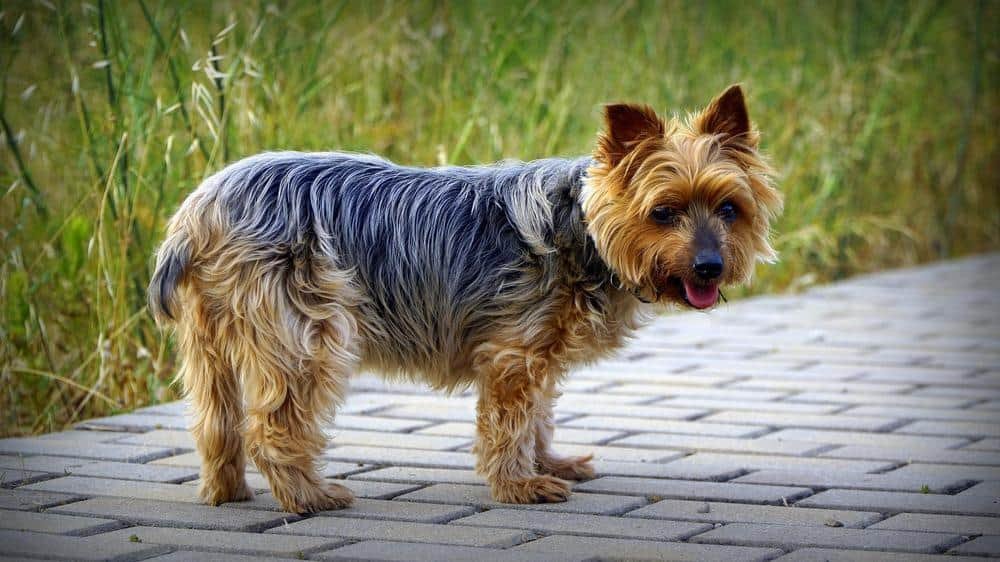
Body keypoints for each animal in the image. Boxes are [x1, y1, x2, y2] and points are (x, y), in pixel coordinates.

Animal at [148, 84, 780, 512]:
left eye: (729, 208)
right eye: (663, 212)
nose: (710, 266)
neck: (583, 228)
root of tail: (197, 213)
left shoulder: (538, 352)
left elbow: (539, 415)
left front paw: (551, 464)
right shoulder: (513, 353)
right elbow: (510, 421)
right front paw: (520, 485)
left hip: (210, 334)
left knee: (215, 420)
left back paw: (226, 492)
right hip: (306, 331)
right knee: (273, 425)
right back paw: (309, 496)